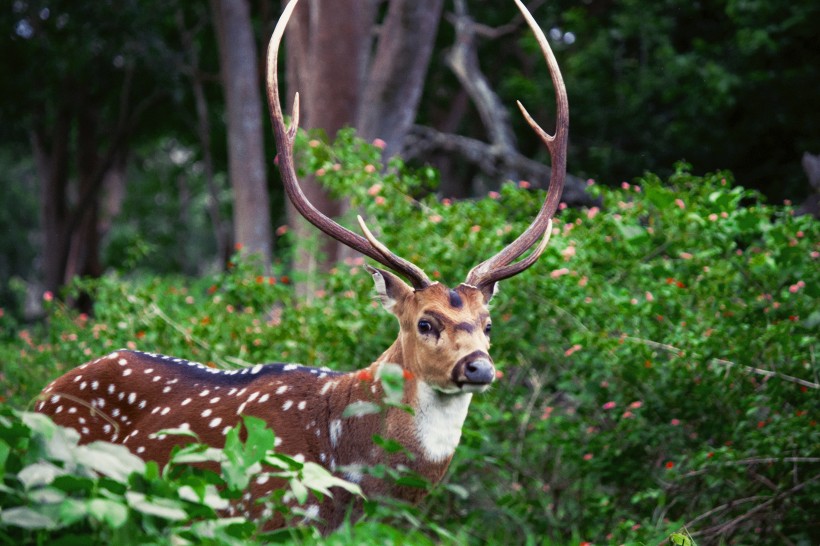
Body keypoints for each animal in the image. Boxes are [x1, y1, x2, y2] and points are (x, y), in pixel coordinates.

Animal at [35, 0, 568, 528]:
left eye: (488, 323)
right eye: (425, 322)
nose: (479, 367)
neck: (350, 476)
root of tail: (41, 394)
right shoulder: (262, 513)